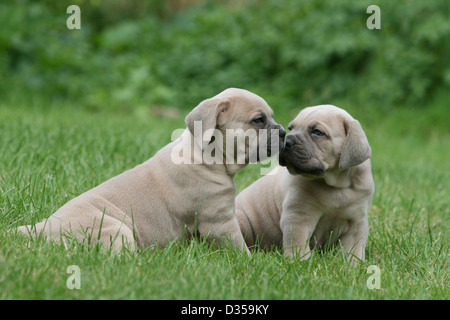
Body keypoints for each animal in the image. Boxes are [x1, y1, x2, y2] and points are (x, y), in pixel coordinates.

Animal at [19, 88, 284, 252]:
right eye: (258, 120)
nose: (283, 132)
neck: (207, 156)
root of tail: (41, 228)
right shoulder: (219, 222)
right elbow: (239, 248)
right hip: (115, 228)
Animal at [236, 105, 372, 262]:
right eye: (291, 128)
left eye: (317, 132)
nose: (286, 141)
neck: (335, 185)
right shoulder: (298, 216)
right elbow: (298, 242)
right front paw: (300, 261)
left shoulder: (356, 223)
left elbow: (353, 249)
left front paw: (353, 264)